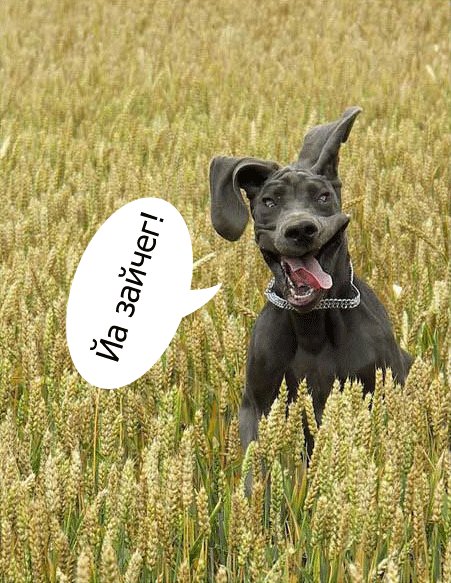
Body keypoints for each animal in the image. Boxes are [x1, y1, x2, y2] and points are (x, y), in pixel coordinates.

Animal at [209, 107, 413, 456]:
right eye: (269, 202)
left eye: (322, 197)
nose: (300, 229)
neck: (312, 325)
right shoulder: (256, 405)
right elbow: (257, 463)